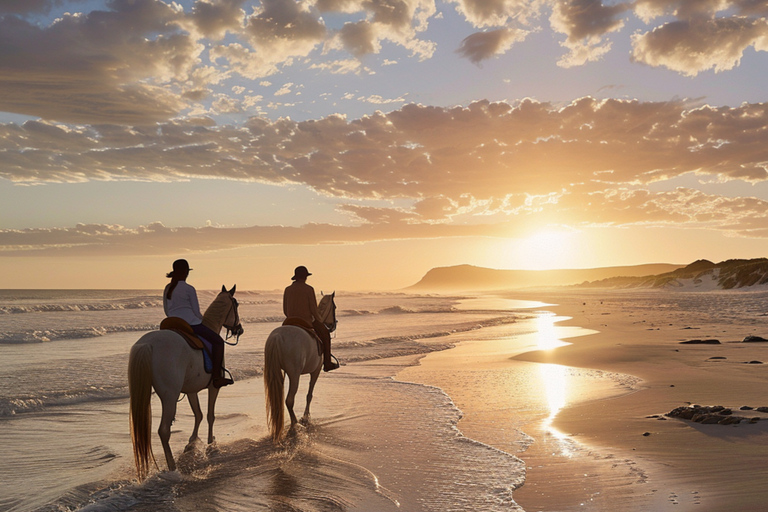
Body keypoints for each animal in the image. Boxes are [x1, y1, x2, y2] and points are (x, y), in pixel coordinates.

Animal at [128, 285, 243, 481]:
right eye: (236, 305)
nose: (239, 329)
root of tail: (147, 344)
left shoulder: (191, 390)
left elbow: (198, 414)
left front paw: (191, 444)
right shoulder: (213, 387)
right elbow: (210, 415)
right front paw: (211, 443)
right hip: (169, 396)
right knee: (163, 430)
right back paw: (173, 468)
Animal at [264, 292, 337, 442]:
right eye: (334, 307)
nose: (333, 325)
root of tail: (277, 337)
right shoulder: (316, 371)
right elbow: (309, 394)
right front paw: (306, 416)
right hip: (294, 374)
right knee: (289, 400)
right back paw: (295, 424)